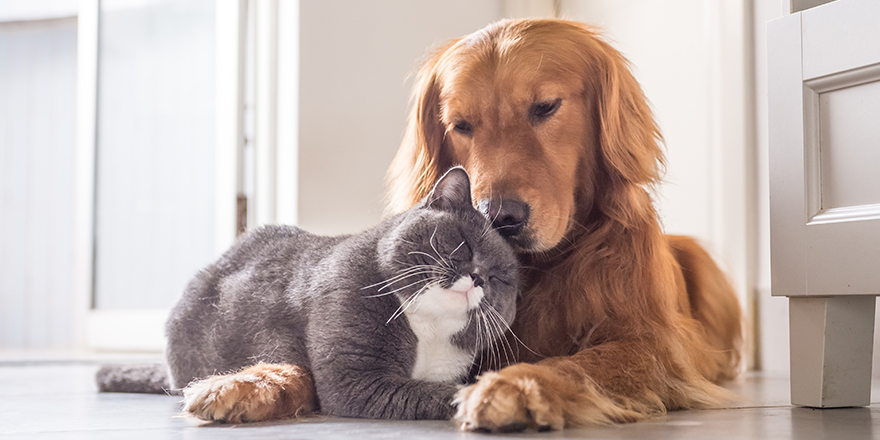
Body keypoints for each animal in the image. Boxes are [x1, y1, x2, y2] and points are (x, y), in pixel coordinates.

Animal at [96, 167, 520, 422]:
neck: (428, 329)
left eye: (500, 278)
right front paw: (484, 398)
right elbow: (437, 392)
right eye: (463, 244)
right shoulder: (355, 380)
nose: (478, 278)